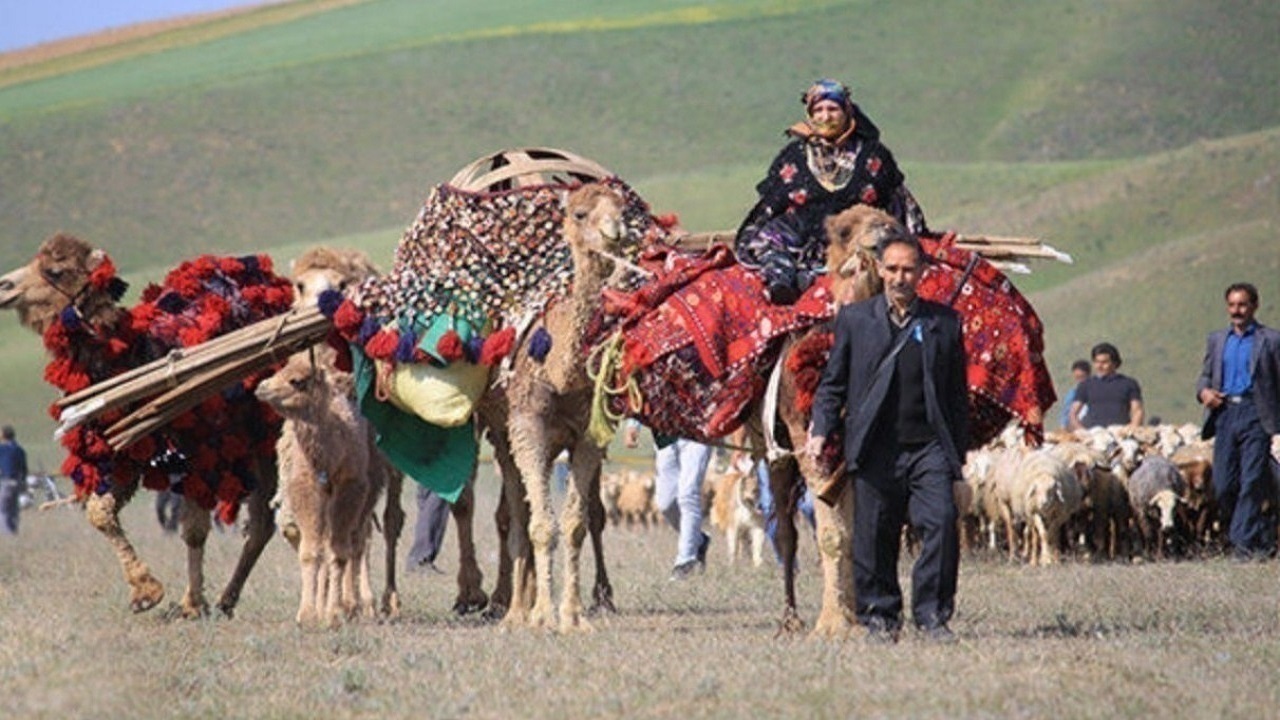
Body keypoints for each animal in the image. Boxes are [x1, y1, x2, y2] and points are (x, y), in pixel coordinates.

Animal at [0, 233, 290, 614]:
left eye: (55, 270)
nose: (4, 286)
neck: (132, 356)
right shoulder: (123, 453)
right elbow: (100, 512)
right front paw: (145, 592)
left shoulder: (202, 452)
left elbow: (194, 530)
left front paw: (190, 603)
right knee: (261, 524)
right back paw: (227, 600)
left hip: (265, 441)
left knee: (261, 523)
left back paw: (229, 597)